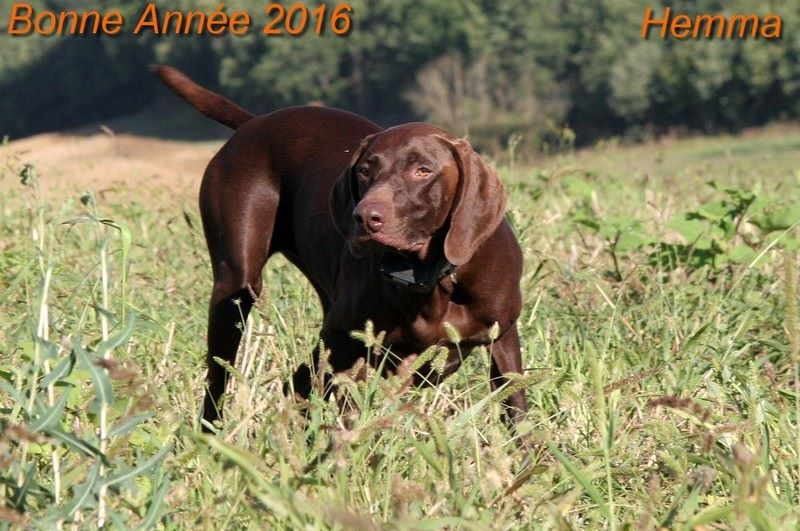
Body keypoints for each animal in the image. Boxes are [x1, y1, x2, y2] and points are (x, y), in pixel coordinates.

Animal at [153, 66, 528, 432]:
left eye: (423, 170)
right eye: (365, 170)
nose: (364, 217)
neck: (429, 277)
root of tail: (255, 123)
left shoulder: (503, 339)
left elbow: (515, 412)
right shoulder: (349, 344)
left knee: (296, 386)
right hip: (237, 289)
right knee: (223, 380)